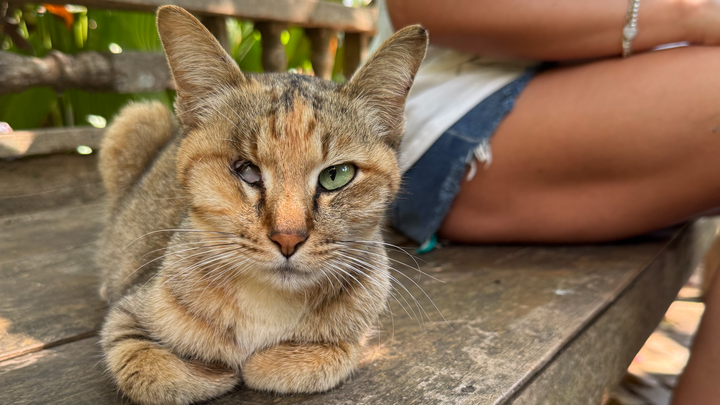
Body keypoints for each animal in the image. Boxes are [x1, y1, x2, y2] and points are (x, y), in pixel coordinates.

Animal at [97, 5, 427, 405]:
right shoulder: (126, 318)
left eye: (337, 175)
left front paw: (270, 362)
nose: (288, 238)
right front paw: (214, 369)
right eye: (247, 170)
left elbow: (329, 356)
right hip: (137, 119)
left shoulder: (353, 335)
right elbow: (150, 368)